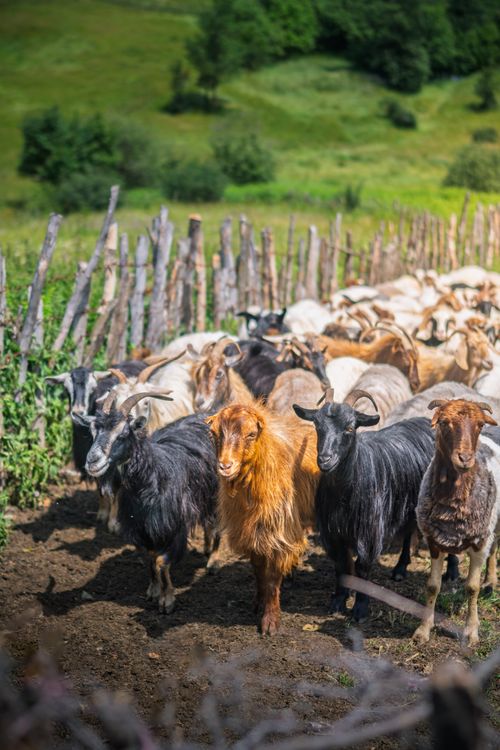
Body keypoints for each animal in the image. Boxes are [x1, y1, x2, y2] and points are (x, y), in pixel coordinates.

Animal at [75, 390, 220, 613]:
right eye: (92, 432)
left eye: (123, 434)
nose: (92, 460)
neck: (153, 478)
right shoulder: (142, 527)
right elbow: (150, 558)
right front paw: (153, 590)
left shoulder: (174, 527)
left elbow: (161, 562)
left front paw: (167, 600)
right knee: (209, 523)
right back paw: (206, 548)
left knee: (218, 523)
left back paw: (213, 561)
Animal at [206, 403, 319, 635]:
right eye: (213, 434)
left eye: (251, 434)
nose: (225, 466)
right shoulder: (251, 532)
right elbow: (259, 571)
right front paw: (258, 603)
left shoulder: (278, 533)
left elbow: (273, 579)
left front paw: (270, 623)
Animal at [293, 388, 435, 622]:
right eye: (317, 425)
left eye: (350, 427)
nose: (325, 459)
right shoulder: (333, 533)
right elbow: (341, 566)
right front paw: (338, 601)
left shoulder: (369, 531)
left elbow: (362, 567)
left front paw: (360, 609)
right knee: (408, 531)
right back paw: (400, 569)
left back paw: (451, 573)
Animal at [413, 399, 500, 647]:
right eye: (444, 422)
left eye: (480, 424)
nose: (465, 459)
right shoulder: (433, 541)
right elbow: (432, 586)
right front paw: (423, 630)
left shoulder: (480, 542)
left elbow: (471, 588)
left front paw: (471, 632)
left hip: (493, 525)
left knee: (494, 549)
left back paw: (490, 582)